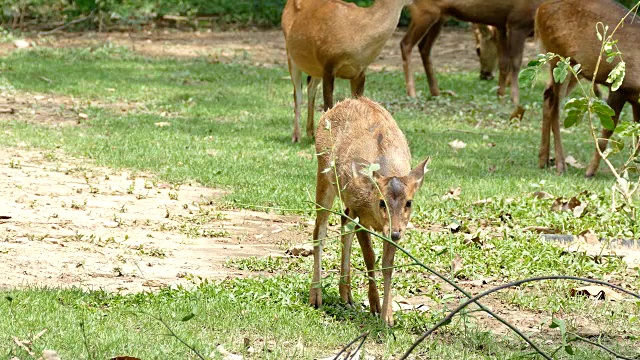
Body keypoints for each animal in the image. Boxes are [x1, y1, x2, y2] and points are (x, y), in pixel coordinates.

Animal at [280, 0, 410, 143]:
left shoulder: (360, 72)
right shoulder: (328, 64)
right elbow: (328, 106)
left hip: (315, 67)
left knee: (310, 87)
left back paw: (310, 133)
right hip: (291, 56)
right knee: (298, 94)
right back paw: (296, 136)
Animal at [312, 95, 430, 326]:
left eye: (409, 203)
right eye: (381, 202)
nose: (395, 233)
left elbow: (387, 264)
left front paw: (388, 317)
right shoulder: (361, 213)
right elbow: (370, 257)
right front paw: (375, 306)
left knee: (343, 224)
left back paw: (346, 296)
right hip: (324, 175)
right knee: (319, 231)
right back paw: (316, 297)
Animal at [402, 0, 544, 105]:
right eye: (477, 50)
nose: (484, 75)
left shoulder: (502, 23)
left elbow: (504, 63)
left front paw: (500, 96)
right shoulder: (517, 21)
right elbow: (516, 63)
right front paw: (514, 99)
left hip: (440, 16)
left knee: (424, 47)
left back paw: (436, 92)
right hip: (424, 10)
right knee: (406, 44)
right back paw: (412, 93)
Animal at [536, 0, 640, 176]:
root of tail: (539, 9)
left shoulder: (636, 99)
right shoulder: (620, 88)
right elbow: (607, 130)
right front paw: (590, 171)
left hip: (574, 70)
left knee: (547, 95)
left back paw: (543, 160)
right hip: (558, 57)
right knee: (555, 107)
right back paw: (560, 164)